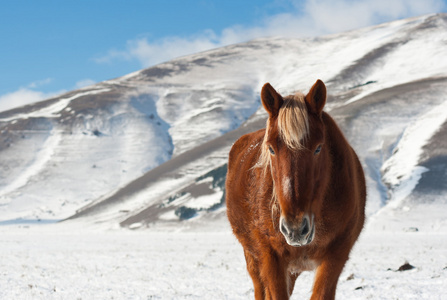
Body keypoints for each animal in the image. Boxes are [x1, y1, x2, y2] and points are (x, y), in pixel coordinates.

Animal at [226, 79, 366, 300]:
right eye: (271, 148)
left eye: (318, 148)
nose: (295, 229)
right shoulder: (271, 258)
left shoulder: (336, 257)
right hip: (253, 259)